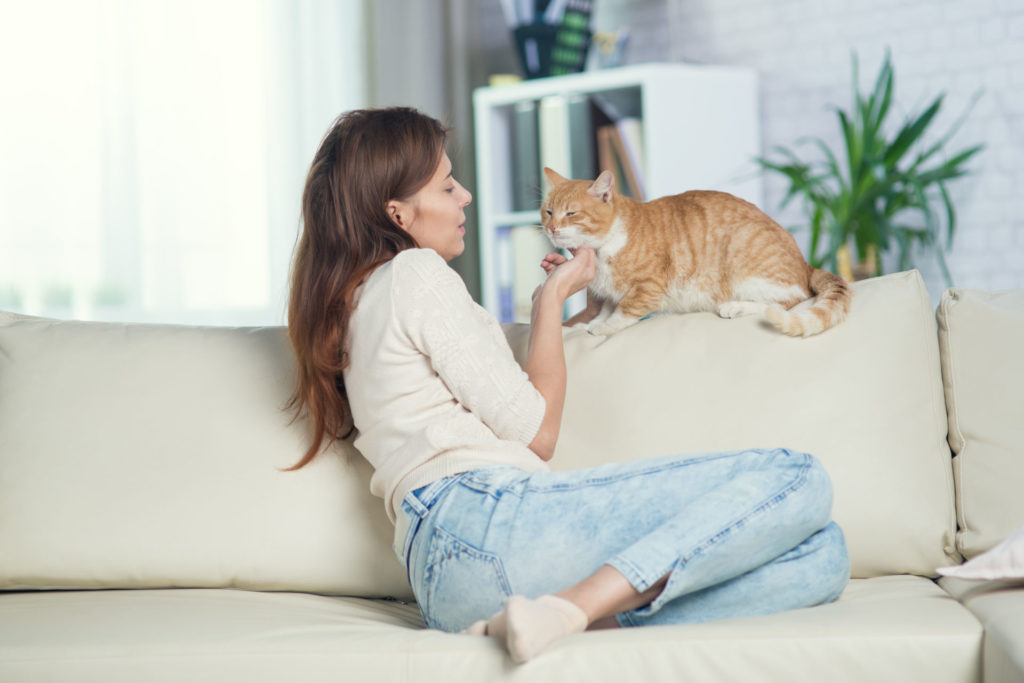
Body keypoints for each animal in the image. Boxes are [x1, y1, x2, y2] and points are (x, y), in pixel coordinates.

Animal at [540, 165, 851, 335]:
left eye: (571, 214)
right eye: (548, 211)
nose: (552, 228)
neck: (604, 247)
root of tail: (805, 263)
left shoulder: (649, 286)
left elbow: (625, 310)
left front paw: (604, 327)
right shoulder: (609, 293)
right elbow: (606, 307)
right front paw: (587, 325)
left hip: (744, 262)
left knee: (787, 300)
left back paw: (734, 307)